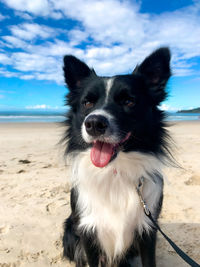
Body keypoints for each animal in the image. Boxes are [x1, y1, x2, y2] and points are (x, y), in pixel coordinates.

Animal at [63, 47, 172, 266]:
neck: (115, 171)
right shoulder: (87, 230)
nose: (94, 124)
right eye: (87, 102)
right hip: (69, 231)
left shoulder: (148, 228)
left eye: (129, 101)